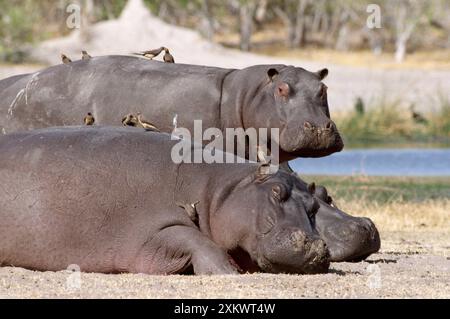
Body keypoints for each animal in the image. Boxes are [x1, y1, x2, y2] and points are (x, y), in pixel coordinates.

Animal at [0, 127, 330, 276]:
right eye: (276, 192)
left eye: (316, 204)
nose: (315, 245)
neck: (220, 190)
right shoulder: (153, 231)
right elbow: (199, 241)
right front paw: (229, 273)